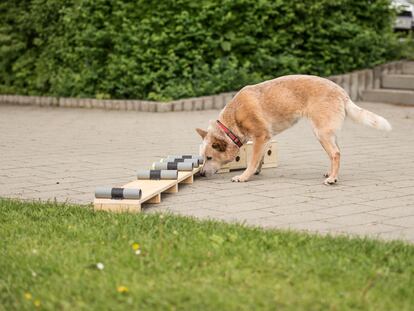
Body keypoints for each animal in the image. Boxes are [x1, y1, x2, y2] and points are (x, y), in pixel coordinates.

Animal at [197, 74, 392, 184]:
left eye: (209, 158)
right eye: (202, 158)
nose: (201, 174)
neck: (233, 120)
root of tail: (342, 92)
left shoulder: (261, 136)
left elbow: (252, 160)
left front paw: (244, 176)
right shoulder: (266, 139)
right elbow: (259, 157)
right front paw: (258, 170)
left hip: (321, 133)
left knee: (336, 154)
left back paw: (332, 179)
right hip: (328, 133)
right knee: (335, 153)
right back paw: (331, 173)